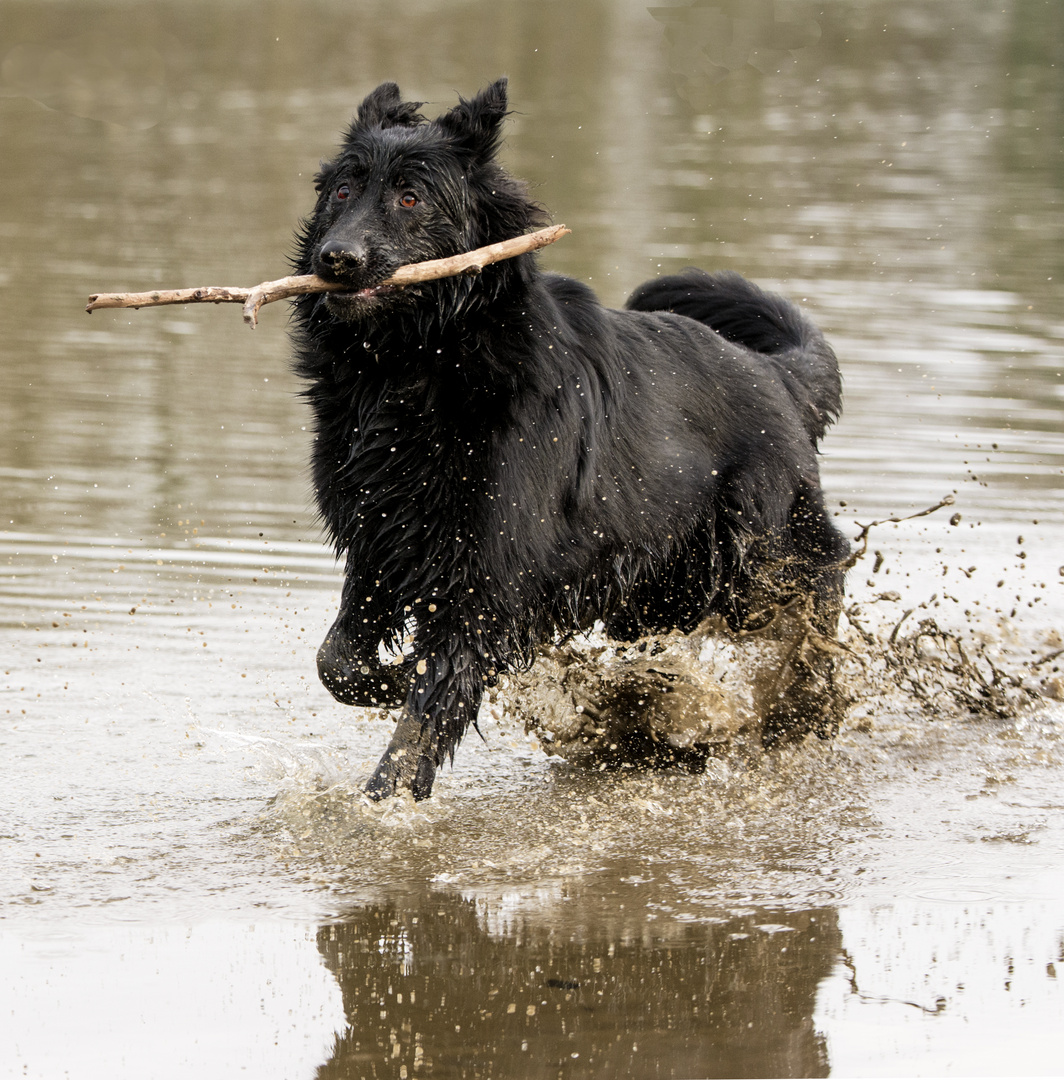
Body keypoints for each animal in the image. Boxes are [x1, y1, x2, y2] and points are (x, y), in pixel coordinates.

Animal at [289, 78, 846, 803]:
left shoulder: (484, 587)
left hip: (753, 563)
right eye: (343, 190)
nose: (336, 259)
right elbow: (339, 660)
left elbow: (422, 723)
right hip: (657, 594)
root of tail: (775, 374)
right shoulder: (381, 545)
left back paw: (806, 700)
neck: (421, 368)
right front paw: (395, 675)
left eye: (410, 197)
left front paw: (384, 803)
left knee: (825, 576)